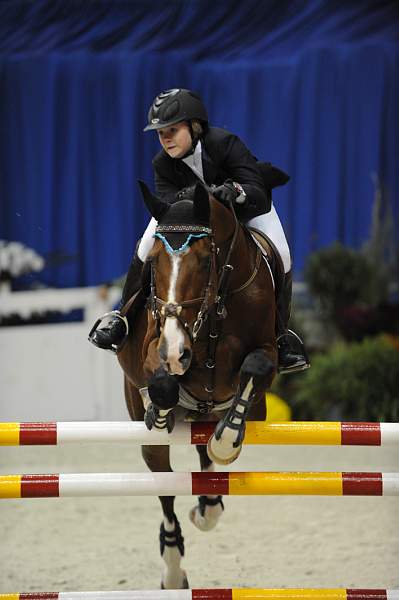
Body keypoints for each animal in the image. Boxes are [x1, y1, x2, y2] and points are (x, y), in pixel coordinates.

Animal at [118, 180, 278, 588]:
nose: (176, 351)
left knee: (205, 463)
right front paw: (159, 411)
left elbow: (254, 367)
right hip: (150, 440)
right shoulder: (152, 349)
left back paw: (208, 504)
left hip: (222, 414)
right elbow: (161, 383)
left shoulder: (267, 351)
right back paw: (174, 570)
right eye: (153, 261)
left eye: (206, 260)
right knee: (165, 488)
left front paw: (226, 442)